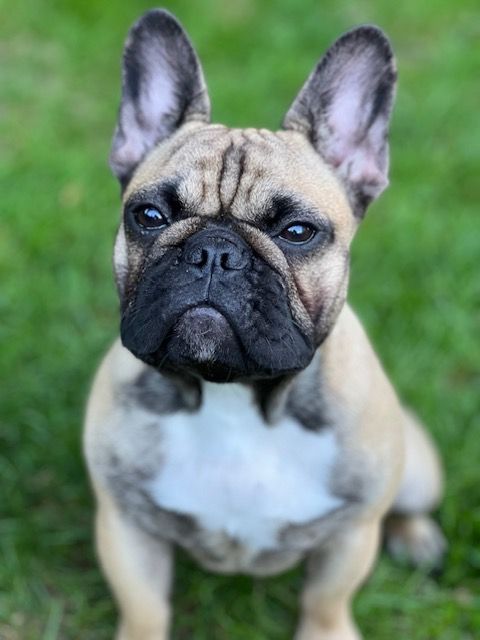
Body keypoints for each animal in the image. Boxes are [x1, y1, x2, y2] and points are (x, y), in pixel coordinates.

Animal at [84, 9, 446, 639]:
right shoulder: (126, 526)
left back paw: (417, 537)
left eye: (297, 232)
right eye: (148, 216)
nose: (213, 252)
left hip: (418, 469)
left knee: (407, 505)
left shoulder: (350, 535)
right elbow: (144, 607)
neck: (233, 396)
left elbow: (326, 601)